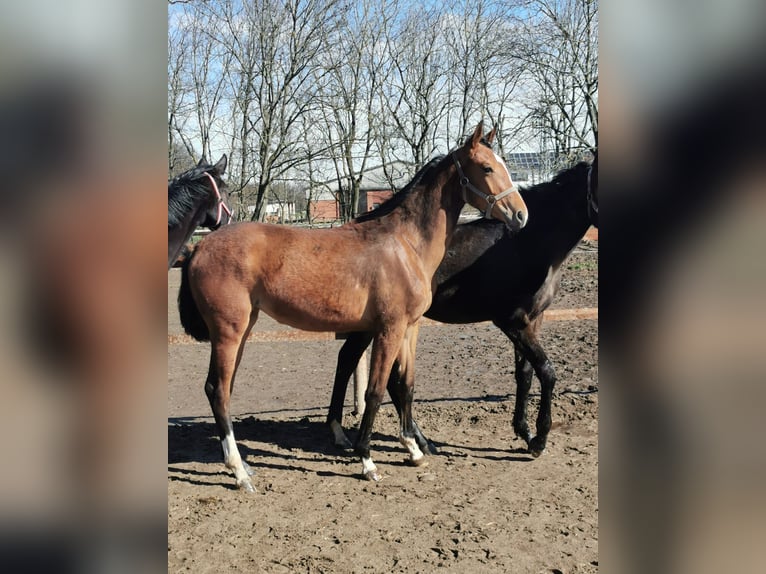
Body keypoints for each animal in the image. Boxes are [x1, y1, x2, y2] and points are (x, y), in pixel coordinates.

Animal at [178, 124, 528, 492]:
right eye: (487, 167)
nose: (521, 215)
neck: (405, 244)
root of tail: (199, 247)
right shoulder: (389, 329)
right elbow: (375, 391)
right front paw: (367, 460)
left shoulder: (410, 329)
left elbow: (406, 384)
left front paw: (413, 449)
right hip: (228, 333)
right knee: (217, 390)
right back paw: (239, 472)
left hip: (243, 330)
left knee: (225, 389)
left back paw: (244, 465)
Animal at [328, 153, 596, 460]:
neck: (529, 243)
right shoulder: (512, 321)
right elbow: (547, 372)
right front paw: (539, 440)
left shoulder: (533, 320)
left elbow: (525, 375)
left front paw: (524, 432)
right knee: (356, 364)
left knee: (368, 369)